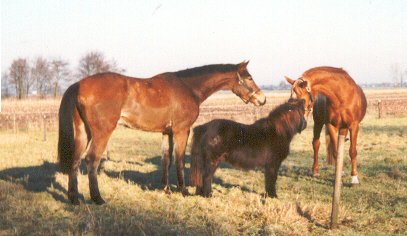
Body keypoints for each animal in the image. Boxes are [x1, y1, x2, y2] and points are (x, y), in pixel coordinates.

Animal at [59, 61, 266, 205]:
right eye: (249, 78)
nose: (262, 99)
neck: (189, 87)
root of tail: (79, 84)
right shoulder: (182, 130)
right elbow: (180, 160)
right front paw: (183, 191)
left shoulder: (167, 133)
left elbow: (166, 160)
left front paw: (166, 189)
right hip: (102, 132)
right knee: (91, 160)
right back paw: (98, 198)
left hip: (83, 132)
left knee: (75, 160)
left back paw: (74, 198)